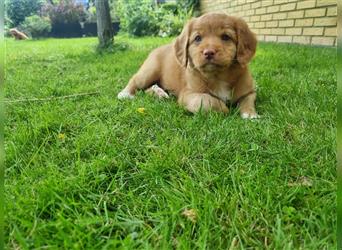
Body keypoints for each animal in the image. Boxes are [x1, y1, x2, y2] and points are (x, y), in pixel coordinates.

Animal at [119, 12, 258, 119]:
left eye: (225, 37)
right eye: (197, 38)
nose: (209, 52)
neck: (217, 76)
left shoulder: (250, 91)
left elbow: (247, 100)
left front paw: (250, 114)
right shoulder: (188, 94)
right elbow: (208, 100)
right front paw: (225, 109)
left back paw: (159, 93)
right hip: (149, 71)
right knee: (135, 81)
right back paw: (125, 94)